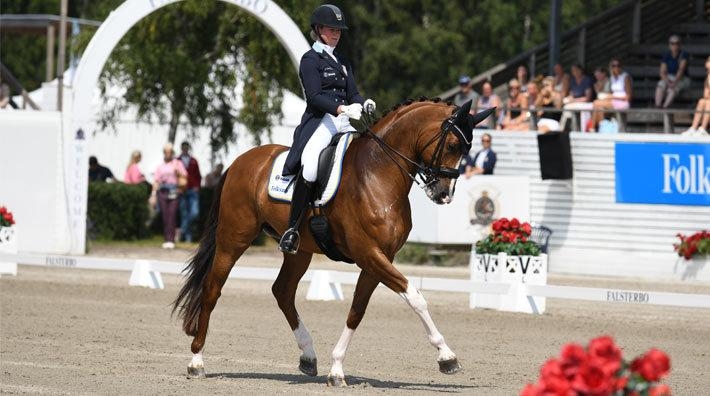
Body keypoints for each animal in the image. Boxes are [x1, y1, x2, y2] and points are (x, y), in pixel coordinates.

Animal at [173, 97, 496, 386]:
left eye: (468, 149)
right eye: (453, 145)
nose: (443, 194)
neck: (378, 174)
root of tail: (241, 160)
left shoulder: (380, 258)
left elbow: (357, 311)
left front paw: (337, 369)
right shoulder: (369, 254)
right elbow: (415, 297)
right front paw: (447, 357)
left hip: (299, 250)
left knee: (282, 291)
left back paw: (308, 356)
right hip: (233, 238)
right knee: (212, 290)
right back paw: (196, 362)